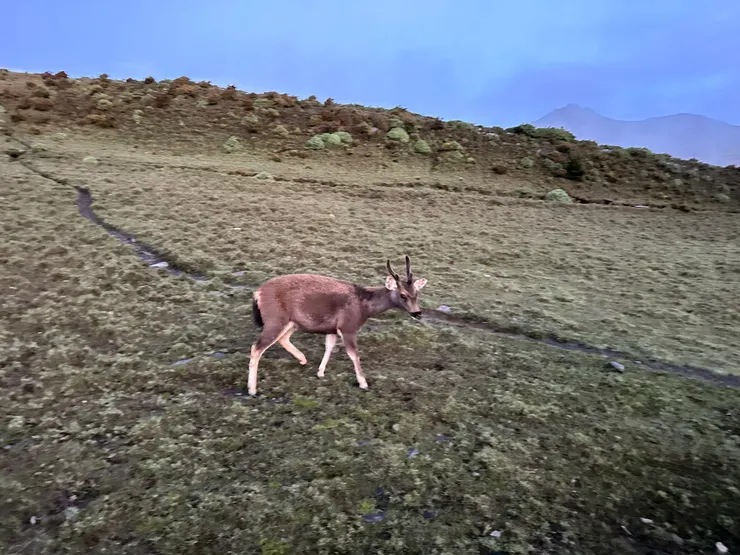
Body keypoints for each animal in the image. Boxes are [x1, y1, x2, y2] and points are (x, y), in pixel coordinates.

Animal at [247, 255, 428, 396]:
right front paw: (363, 383)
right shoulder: (348, 326)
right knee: (257, 347)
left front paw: (320, 372)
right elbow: (354, 354)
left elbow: (329, 347)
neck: (364, 308)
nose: (417, 313)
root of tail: (258, 293)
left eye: (416, 293)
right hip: (275, 319)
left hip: (291, 322)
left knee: (282, 339)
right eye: (403, 295)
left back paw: (302, 359)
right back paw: (252, 389)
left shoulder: (332, 329)